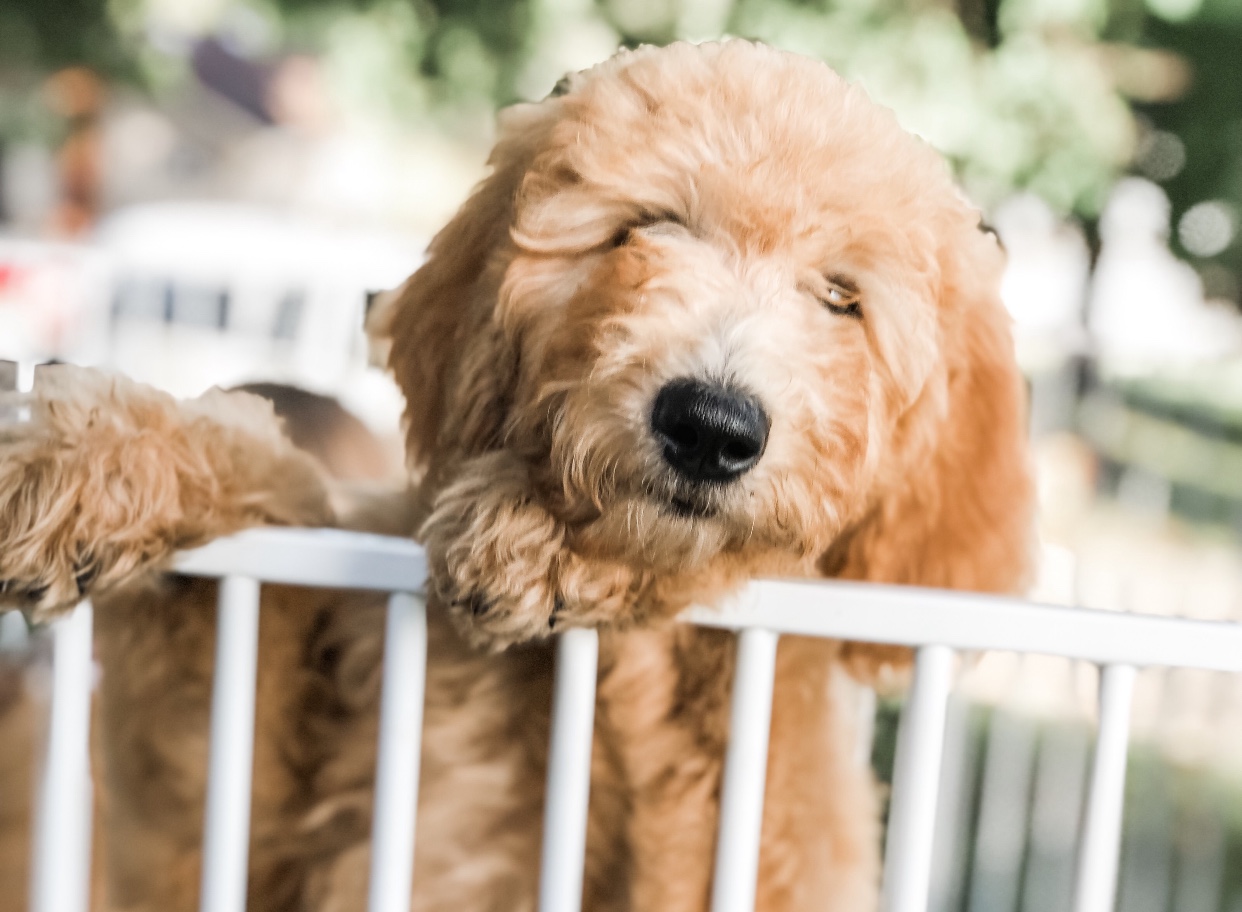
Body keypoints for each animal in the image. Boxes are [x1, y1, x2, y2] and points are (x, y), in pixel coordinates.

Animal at [0, 39, 1028, 909]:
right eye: (644, 230)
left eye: (842, 298)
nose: (709, 427)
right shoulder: (226, 832)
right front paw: (88, 457)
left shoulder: (767, 834)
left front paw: (562, 545)